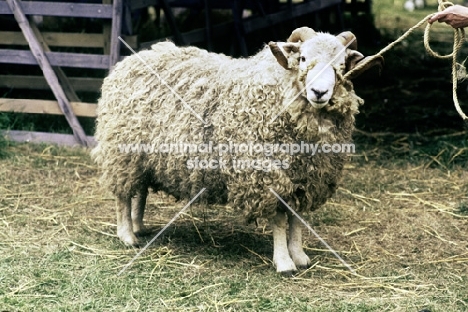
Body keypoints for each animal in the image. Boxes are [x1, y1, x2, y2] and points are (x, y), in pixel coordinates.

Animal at [92, 28, 384, 274]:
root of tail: (133, 59)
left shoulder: (304, 178)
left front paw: (299, 255)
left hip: (142, 156)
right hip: (122, 151)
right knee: (123, 195)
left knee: (139, 190)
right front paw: (284, 262)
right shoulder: (267, 175)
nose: (319, 92)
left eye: (341, 65)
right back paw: (127, 235)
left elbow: (296, 219)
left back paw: (139, 226)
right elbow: (280, 220)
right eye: (302, 58)